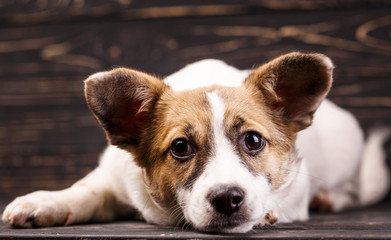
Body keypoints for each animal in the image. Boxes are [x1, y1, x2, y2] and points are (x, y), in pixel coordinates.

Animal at [1, 52, 390, 232]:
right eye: (180, 148)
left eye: (252, 140)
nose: (228, 199)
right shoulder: (110, 177)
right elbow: (85, 191)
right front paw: (46, 202)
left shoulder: (297, 185)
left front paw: (268, 210)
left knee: (353, 190)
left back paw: (330, 198)